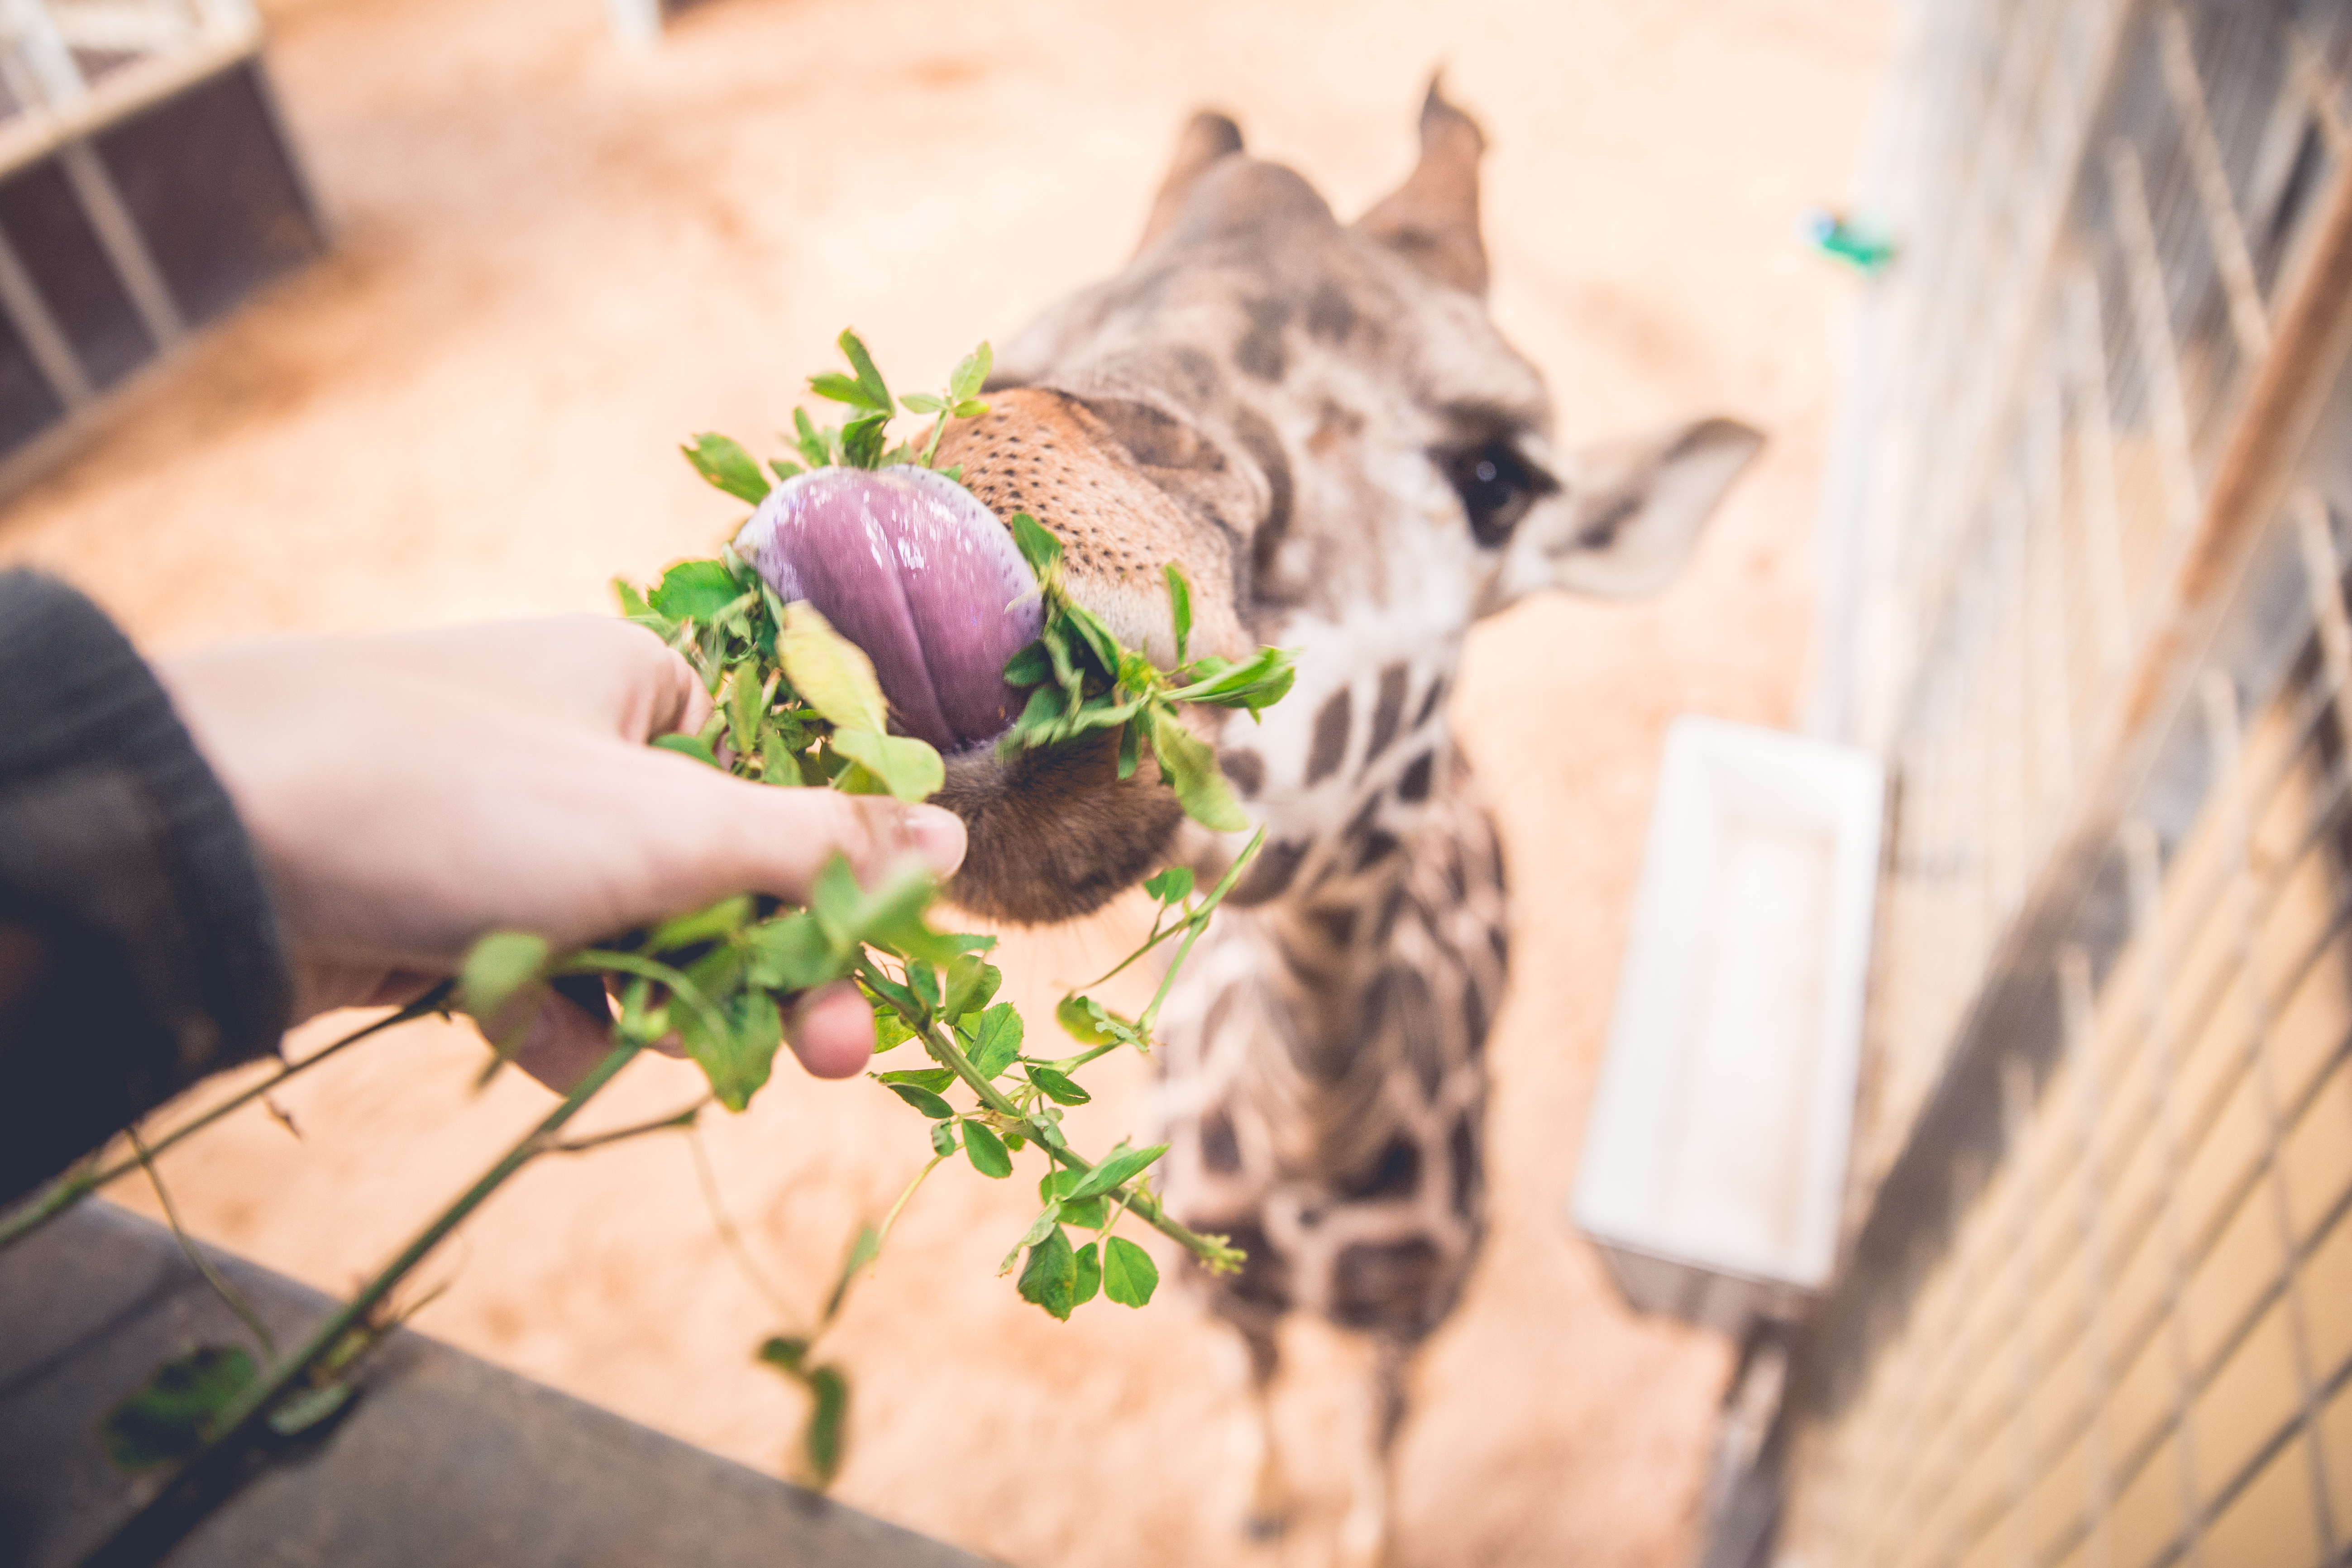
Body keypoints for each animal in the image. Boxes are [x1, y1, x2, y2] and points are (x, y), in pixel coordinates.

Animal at [837, 83, 1759, 1561]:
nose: (987, 489)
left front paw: (1353, 1531)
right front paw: (1257, 1500)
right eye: (1021, 349)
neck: (1311, 1143)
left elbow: (1381, 1439)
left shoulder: (1415, 1319)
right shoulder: (1225, 1290)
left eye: (1496, 477)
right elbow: (1255, 1387)